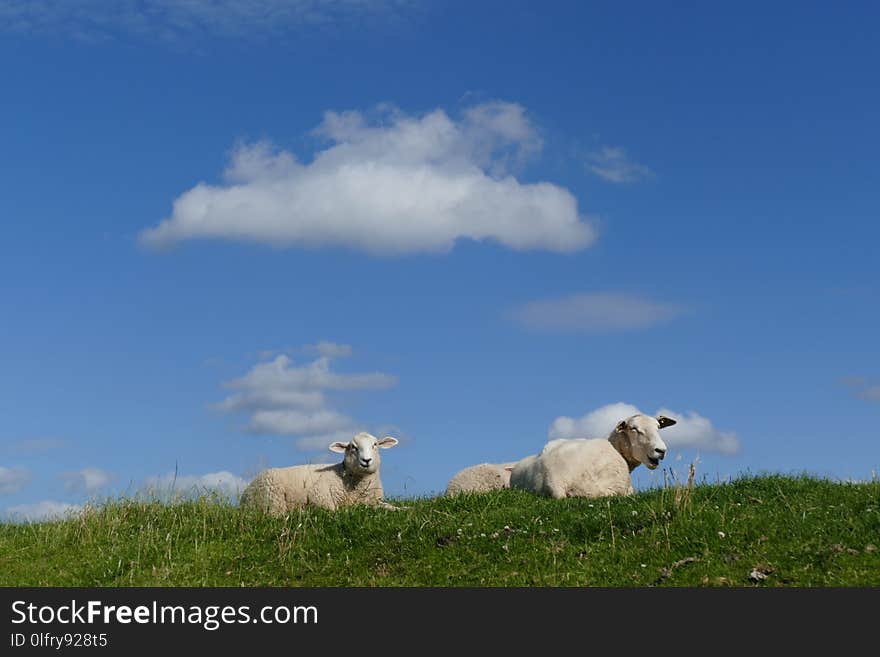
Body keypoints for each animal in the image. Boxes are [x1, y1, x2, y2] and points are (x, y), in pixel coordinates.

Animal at [237, 430, 396, 516]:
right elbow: (335, 511)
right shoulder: (318, 495)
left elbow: (391, 507)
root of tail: (244, 498)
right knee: (277, 514)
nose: (366, 460)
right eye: (353, 447)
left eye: (375, 445)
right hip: (272, 498)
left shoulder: (374, 501)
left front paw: (400, 509)